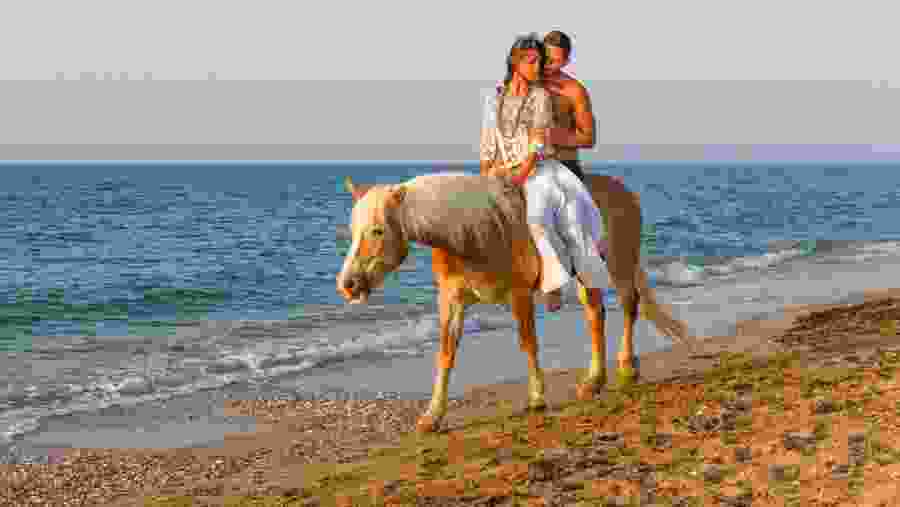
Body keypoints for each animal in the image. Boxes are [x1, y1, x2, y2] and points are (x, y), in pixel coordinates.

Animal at [337, 172, 694, 434]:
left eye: (378, 230)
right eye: (353, 230)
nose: (348, 285)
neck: (472, 233)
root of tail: (625, 192)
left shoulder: (519, 294)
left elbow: (528, 342)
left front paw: (536, 398)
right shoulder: (452, 301)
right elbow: (446, 354)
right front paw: (432, 417)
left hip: (619, 263)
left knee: (630, 305)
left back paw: (627, 367)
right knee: (597, 314)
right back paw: (593, 382)